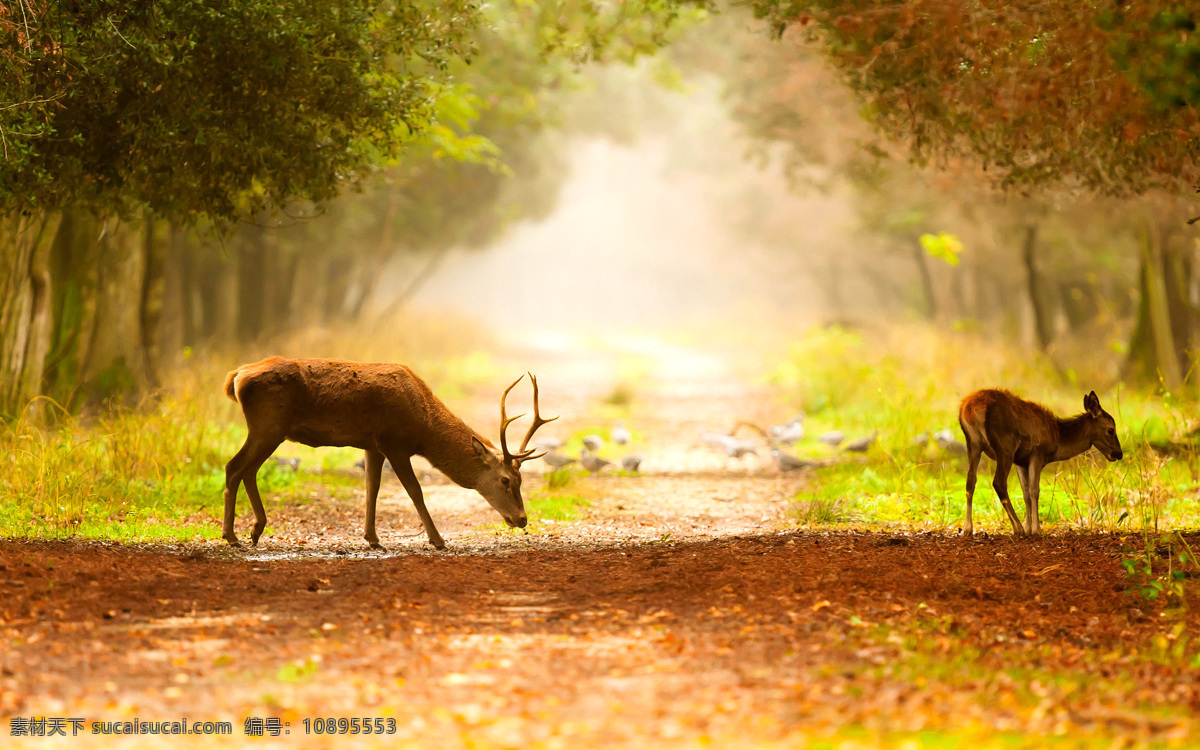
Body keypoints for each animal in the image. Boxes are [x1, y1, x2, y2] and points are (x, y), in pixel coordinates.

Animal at [221, 357, 556, 550]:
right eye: (506, 480)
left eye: (523, 480)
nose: (522, 519)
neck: (423, 428)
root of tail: (236, 376)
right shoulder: (394, 442)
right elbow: (415, 490)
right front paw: (438, 540)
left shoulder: (373, 444)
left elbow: (372, 488)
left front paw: (372, 539)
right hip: (268, 424)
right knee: (234, 467)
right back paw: (232, 536)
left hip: (268, 429)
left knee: (244, 469)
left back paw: (254, 531)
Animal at [959, 388, 1123, 537]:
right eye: (1111, 430)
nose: (1119, 453)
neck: (1057, 437)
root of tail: (971, 408)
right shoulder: (1037, 453)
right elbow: (1034, 491)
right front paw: (1035, 529)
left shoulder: (1020, 461)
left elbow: (1025, 493)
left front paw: (1028, 527)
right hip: (1005, 445)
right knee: (999, 482)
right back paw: (1017, 528)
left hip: (973, 443)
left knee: (970, 480)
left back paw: (967, 529)